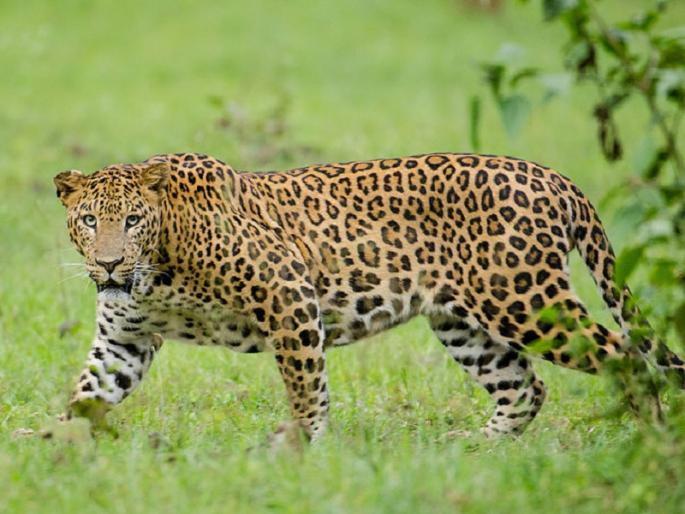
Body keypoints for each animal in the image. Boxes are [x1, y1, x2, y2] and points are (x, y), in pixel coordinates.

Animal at [54, 152, 685, 440]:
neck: (157, 269)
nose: (109, 263)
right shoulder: (124, 339)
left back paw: (654, 440)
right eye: (88, 221)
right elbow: (88, 392)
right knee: (525, 386)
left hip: (525, 301)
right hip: (464, 323)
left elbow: (305, 386)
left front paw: (302, 448)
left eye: (133, 220)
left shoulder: (289, 294)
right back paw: (479, 446)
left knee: (627, 358)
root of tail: (554, 177)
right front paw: (54, 449)